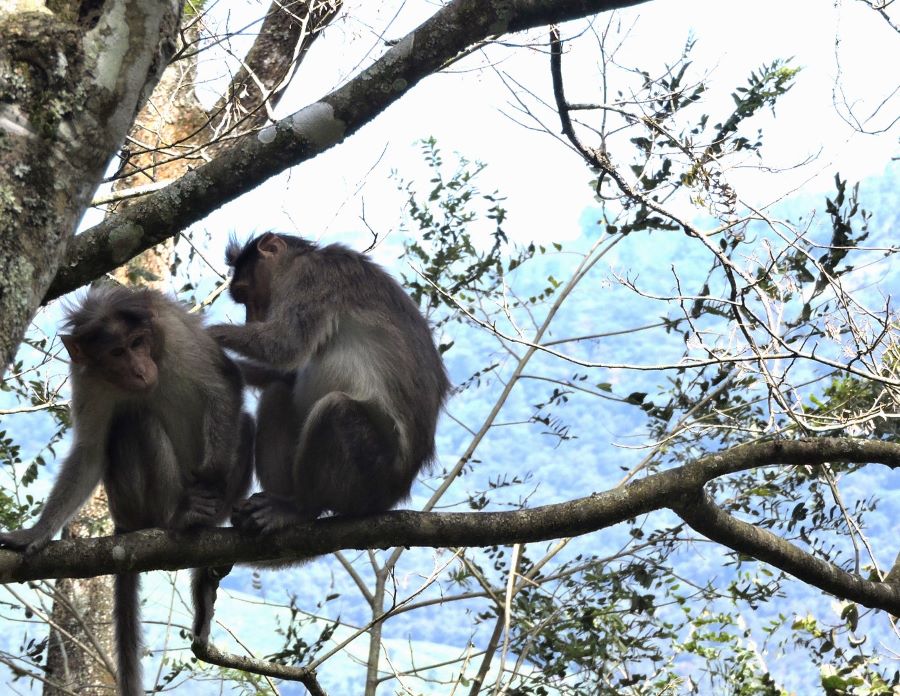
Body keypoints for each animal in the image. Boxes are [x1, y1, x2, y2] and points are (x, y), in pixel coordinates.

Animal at [0, 286, 253, 696]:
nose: (139, 369)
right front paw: (36, 533)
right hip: (137, 503)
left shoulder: (177, 336)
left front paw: (213, 479)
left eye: (137, 344)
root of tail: (124, 523)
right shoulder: (87, 378)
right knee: (135, 419)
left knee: (242, 422)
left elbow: (225, 386)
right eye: (117, 353)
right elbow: (89, 451)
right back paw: (179, 517)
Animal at [208, 232, 449, 534]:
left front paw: (207, 332)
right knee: (278, 392)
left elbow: (284, 345)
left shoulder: (311, 278)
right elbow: (286, 373)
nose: (252, 318)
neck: (300, 259)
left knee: (335, 409)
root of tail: (394, 495)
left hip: (369, 477)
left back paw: (300, 509)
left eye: (244, 294)